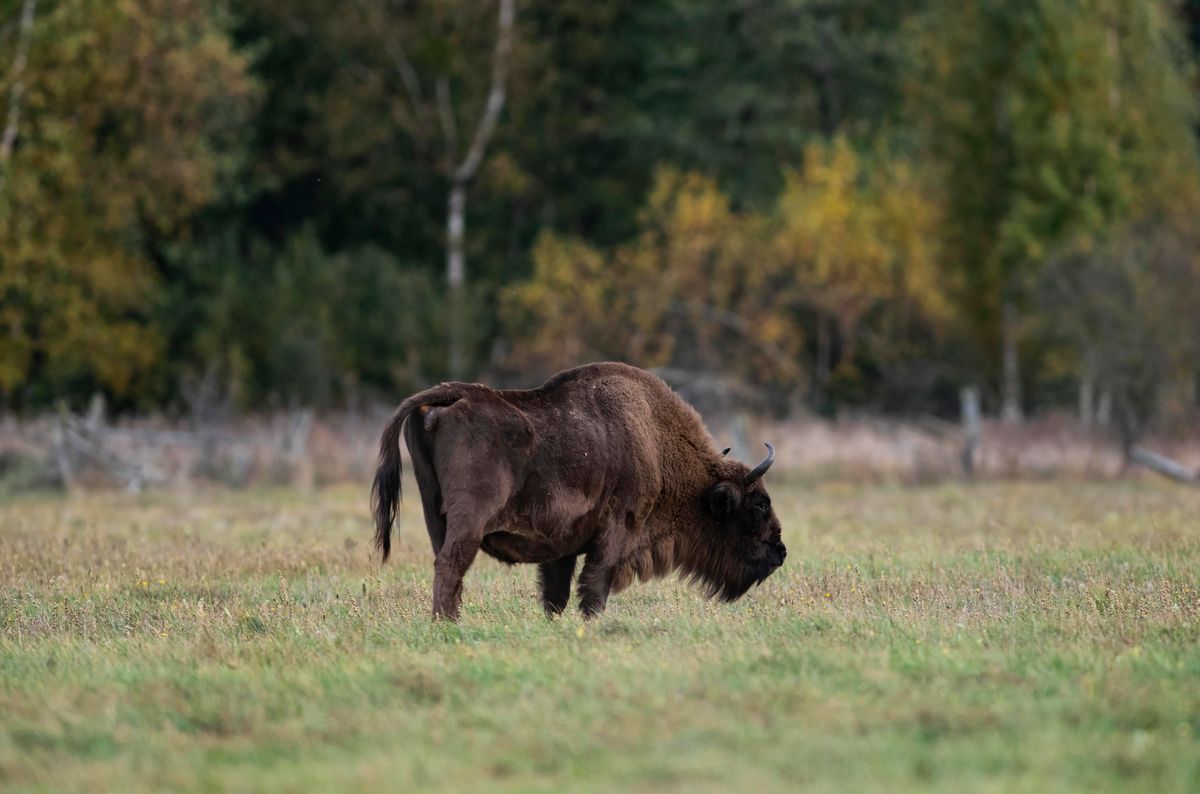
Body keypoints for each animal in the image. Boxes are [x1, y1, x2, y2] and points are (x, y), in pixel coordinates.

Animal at [374, 362, 787, 623]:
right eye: (758, 504)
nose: (780, 552)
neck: (654, 442)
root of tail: (451, 396)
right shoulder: (617, 534)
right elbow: (594, 588)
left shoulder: (563, 547)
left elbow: (555, 594)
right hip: (468, 523)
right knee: (450, 566)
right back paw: (447, 627)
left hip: (434, 514)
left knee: (448, 570)